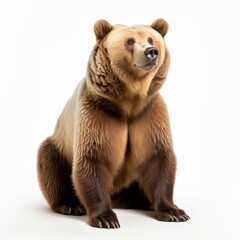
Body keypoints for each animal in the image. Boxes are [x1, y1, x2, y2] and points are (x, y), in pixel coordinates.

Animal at [37, 18, 189, 229]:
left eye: (151, 38)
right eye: (130, 41)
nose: (151, 51)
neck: (129, 102)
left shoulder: (149, 114)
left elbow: (157, 157)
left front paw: (174, 212)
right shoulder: (97, 113)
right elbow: (93, 157)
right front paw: (106, 218)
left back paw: (142, 202)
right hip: (59, 145)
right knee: (50, 160)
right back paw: (70, 204)